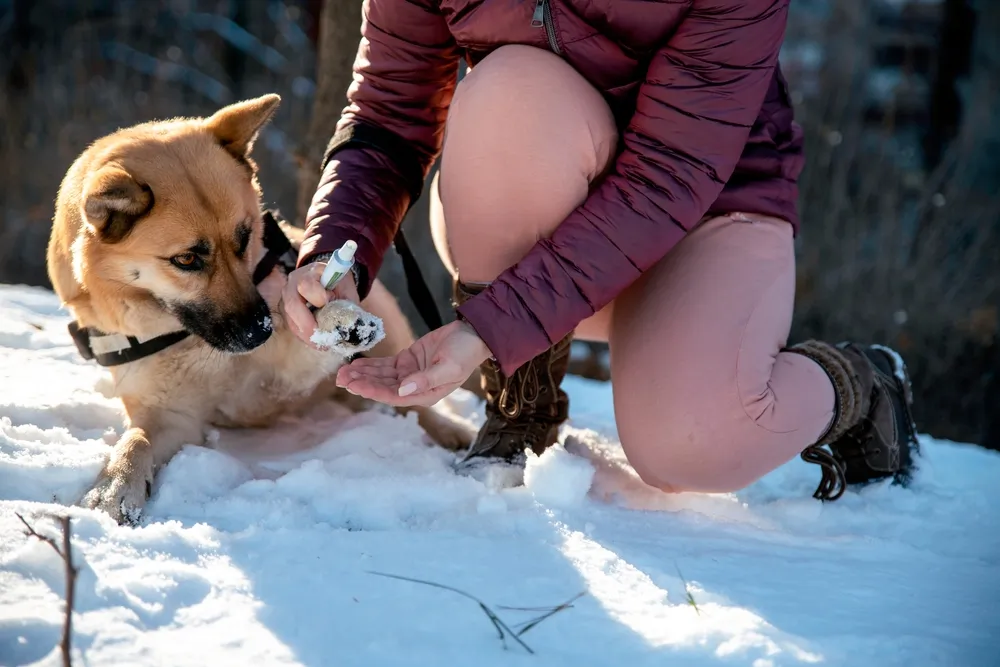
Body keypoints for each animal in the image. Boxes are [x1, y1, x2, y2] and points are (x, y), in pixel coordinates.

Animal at [48, 92, 478, 528]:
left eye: (245, 238)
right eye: (186, 259)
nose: (259, 332)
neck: (187, 337)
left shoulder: (286, 374)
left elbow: (309, 335)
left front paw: (336, 321)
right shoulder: (169, 414)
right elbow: (135, 442)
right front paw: (114, 486)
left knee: (414, 405)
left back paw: (452, 431)